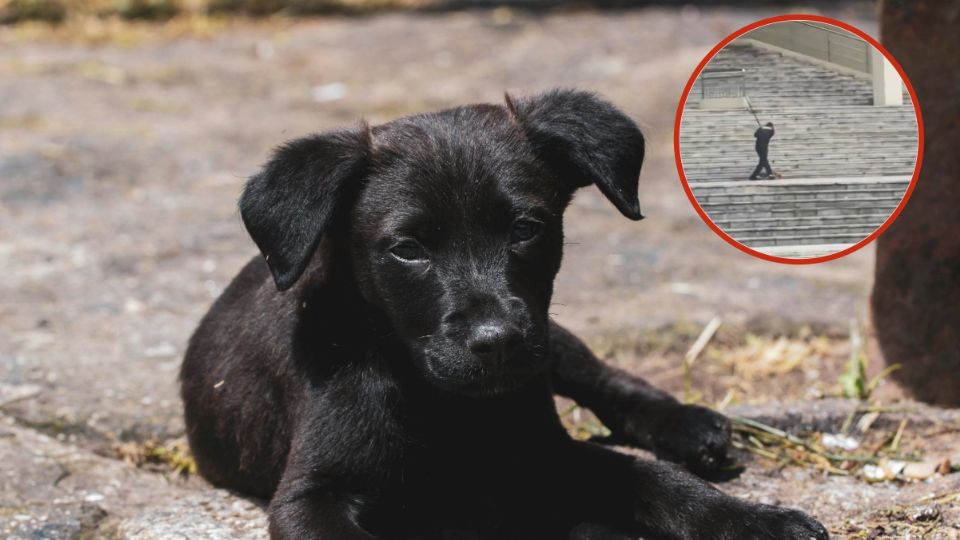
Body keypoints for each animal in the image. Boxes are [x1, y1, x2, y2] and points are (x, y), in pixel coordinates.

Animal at [180, 90, 824, 536]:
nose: (499, 341)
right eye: (407, 249)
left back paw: (689, 426)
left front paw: (756, 521)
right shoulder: (311, 497)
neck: (438, 399)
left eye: (525, 228)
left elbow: (657, 480)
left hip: (552, 343)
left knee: (608, 381)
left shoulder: (542, 450)